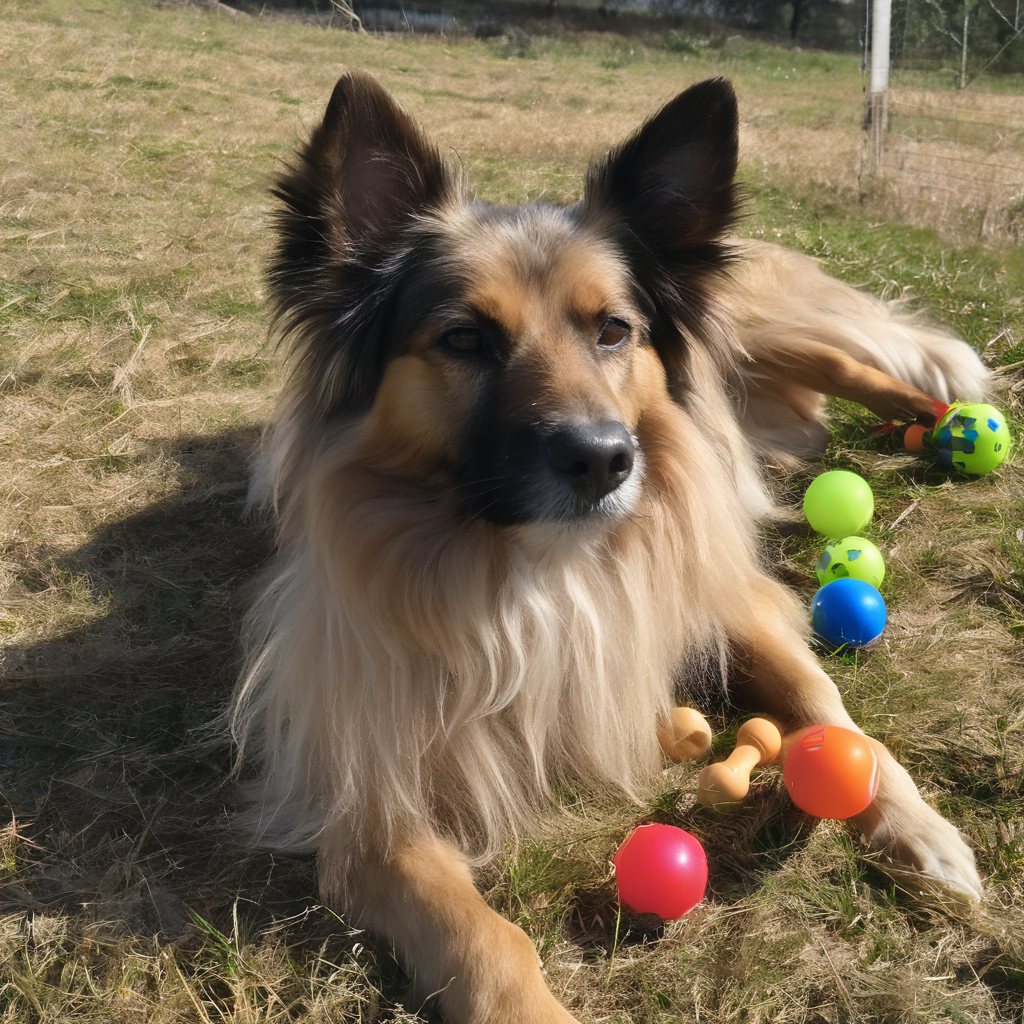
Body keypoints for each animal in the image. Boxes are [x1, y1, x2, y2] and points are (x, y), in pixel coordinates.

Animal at [230, 74, 983, 1024]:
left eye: (614, 330)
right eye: (464, 339)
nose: (602, 459)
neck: (538, 563)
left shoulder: (730, 598)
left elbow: (833, 715)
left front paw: (919, 828)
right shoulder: (369, 799)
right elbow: (483, 936)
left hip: (759, 331)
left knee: (860, 363)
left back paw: (940, 414)